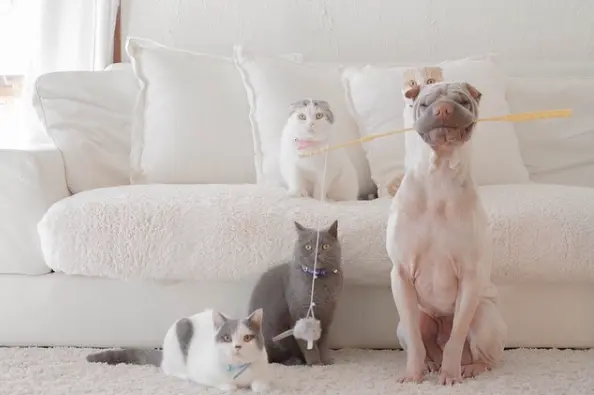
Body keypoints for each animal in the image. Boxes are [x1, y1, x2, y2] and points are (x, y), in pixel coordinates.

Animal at [85, 310, 268, 392]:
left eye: (247, 338)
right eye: (227, 338)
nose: (237, 346)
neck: (238, 370)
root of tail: (164, 354)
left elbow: (260, 384)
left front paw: (258, 386)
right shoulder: (202, 374)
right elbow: (228, 386)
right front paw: (231, 386)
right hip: (181, 331)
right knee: (169, 369)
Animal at [249, 218, 342, 366]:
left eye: (325, 246)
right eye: (308, 247)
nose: (317, 253)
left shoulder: (328, 314)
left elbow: (323, 341)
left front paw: (326, 360)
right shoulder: (300, 313)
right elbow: (308, 344)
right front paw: (315, 363)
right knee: (273, 358)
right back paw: (294, 361)